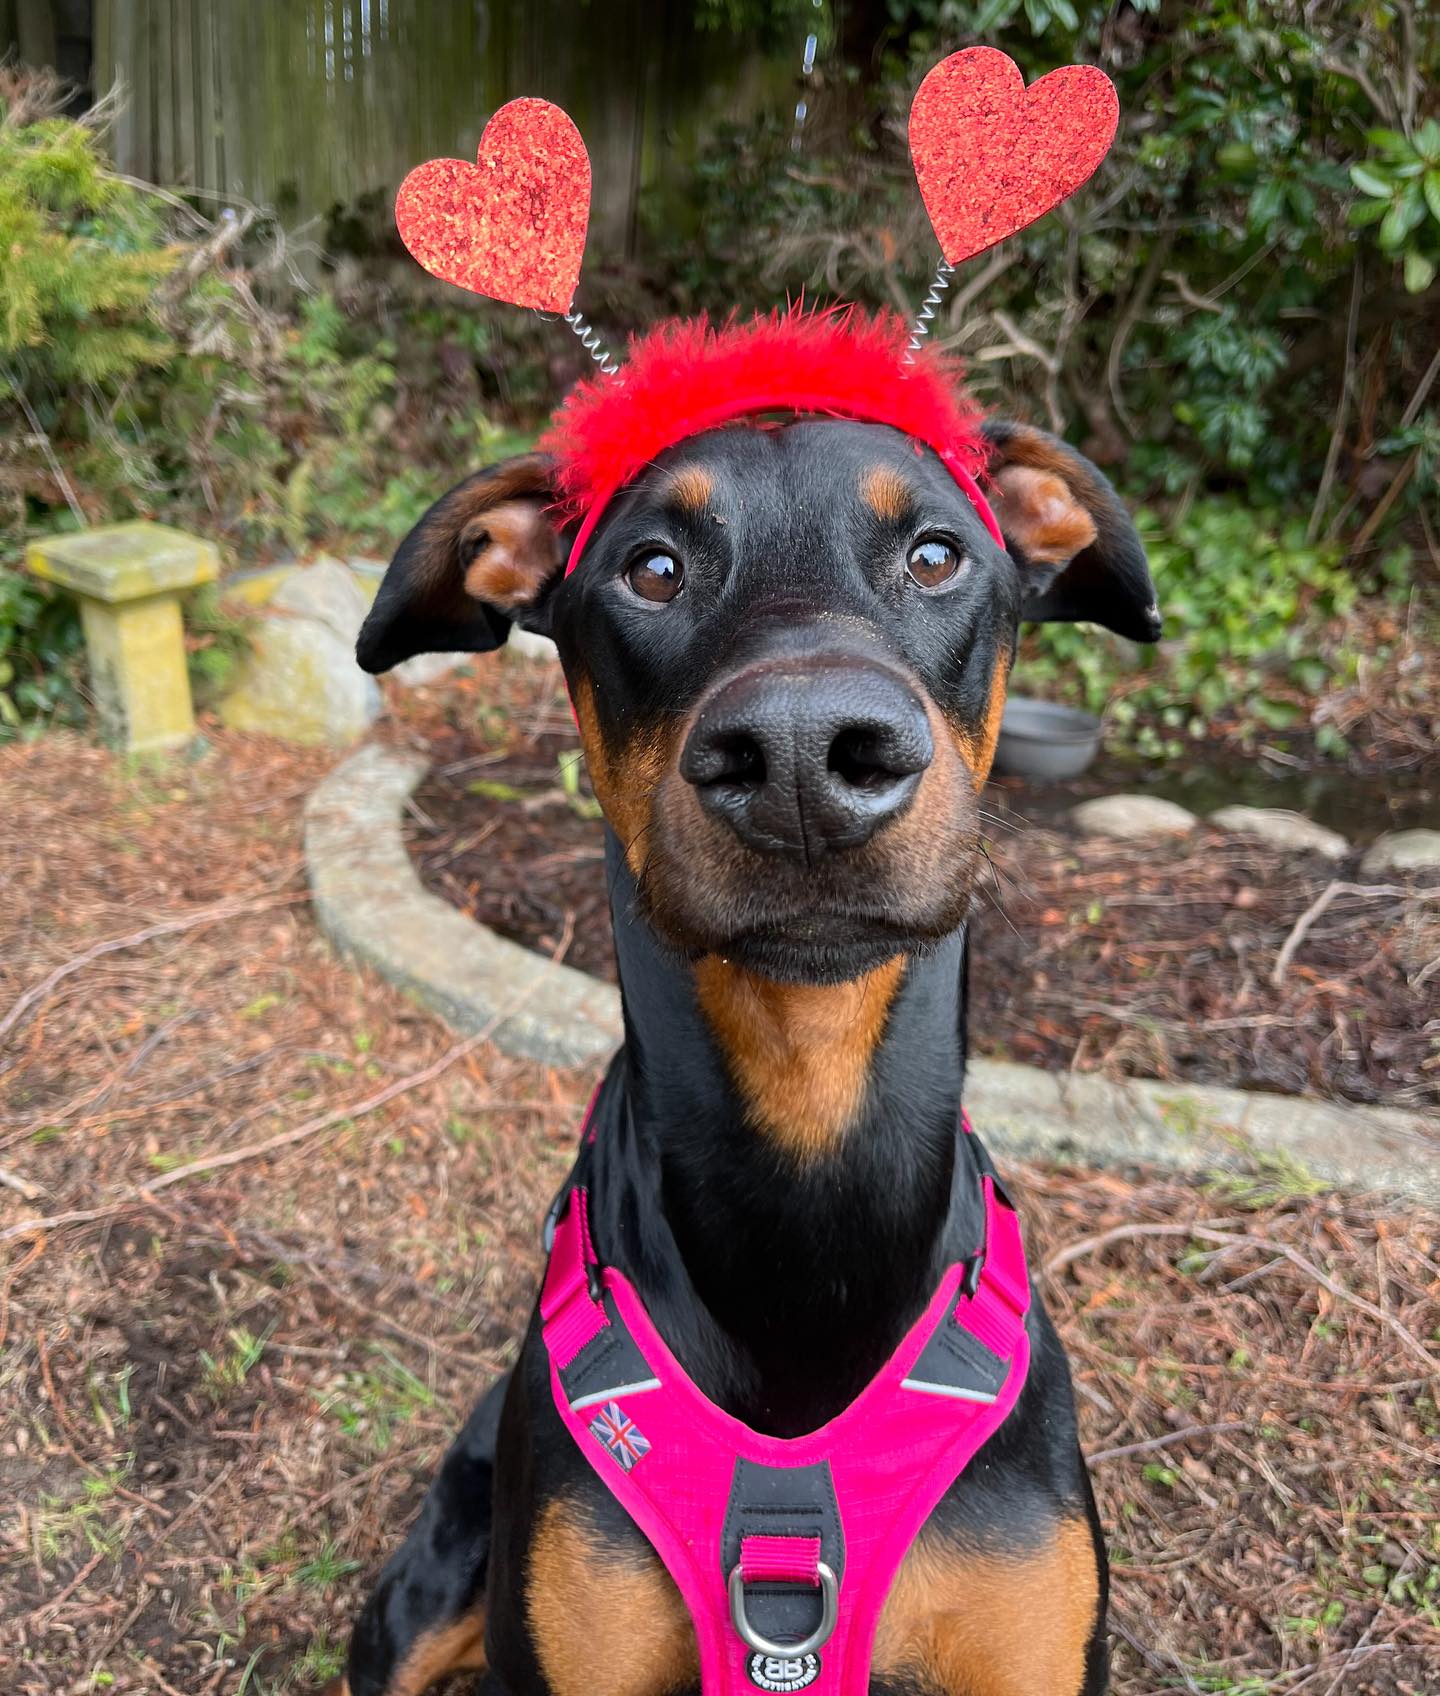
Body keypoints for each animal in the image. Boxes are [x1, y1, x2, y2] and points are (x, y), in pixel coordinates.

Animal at [330, 323, 1160, 1689]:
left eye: (937, 553)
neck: (808, 1147)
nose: (802, 755)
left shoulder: (1026, 1638)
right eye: (651, 569)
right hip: (420, 1597)